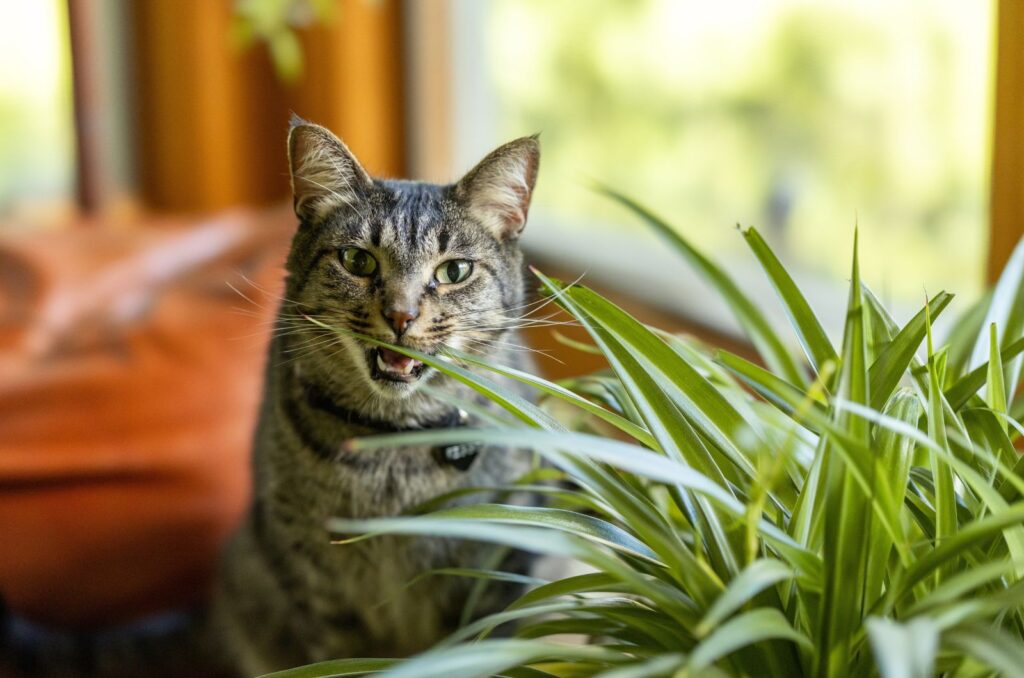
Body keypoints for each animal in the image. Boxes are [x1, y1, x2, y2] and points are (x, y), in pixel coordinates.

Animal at [209, 116, 544, 675]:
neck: (394, 447)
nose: (401, 315)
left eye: (454, 271)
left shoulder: (499, 564)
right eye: (357, 260)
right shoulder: (313, 580)